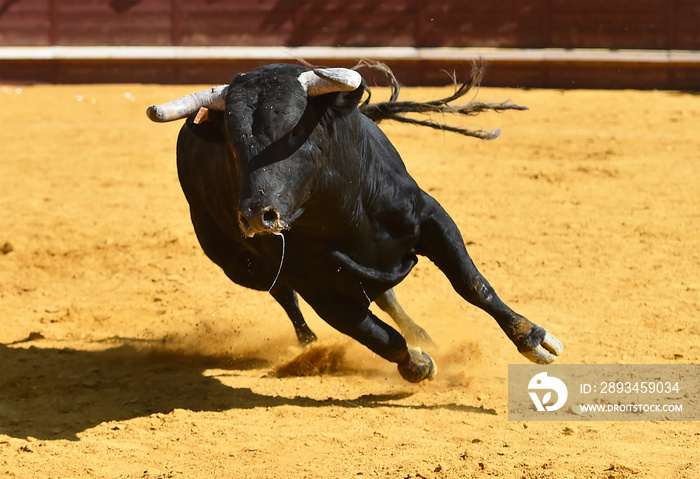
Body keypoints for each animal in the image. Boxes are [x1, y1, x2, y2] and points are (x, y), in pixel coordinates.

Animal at [148, 62, 564, 382]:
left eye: (295, 133)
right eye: (233, 144)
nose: (255, 215)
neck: (343, 213)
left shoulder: (431, 218)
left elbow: (473, 284)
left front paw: (534, 339)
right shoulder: (317, 288)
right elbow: (374, 334)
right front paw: (416, 365)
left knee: (383, 294)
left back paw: (423, 335)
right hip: (240, 266)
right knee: (286, 296)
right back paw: (311, 347)